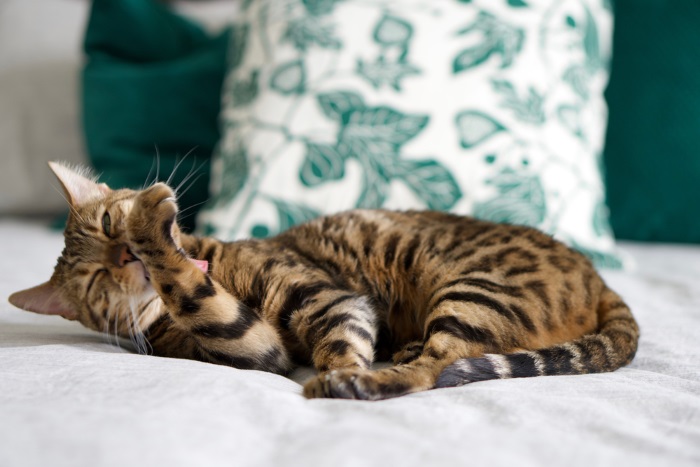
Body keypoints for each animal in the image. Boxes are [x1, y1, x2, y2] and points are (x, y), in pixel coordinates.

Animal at [6, 163, 640, 400]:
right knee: (433, 370)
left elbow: (338, 342)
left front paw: (152, 216)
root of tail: (596, 274)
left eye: (110, 225)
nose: (125, 253)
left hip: (471, 288)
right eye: (97, 280)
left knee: (440, 364)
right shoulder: (252, 345)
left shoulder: (324, 297)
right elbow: (196, 295)